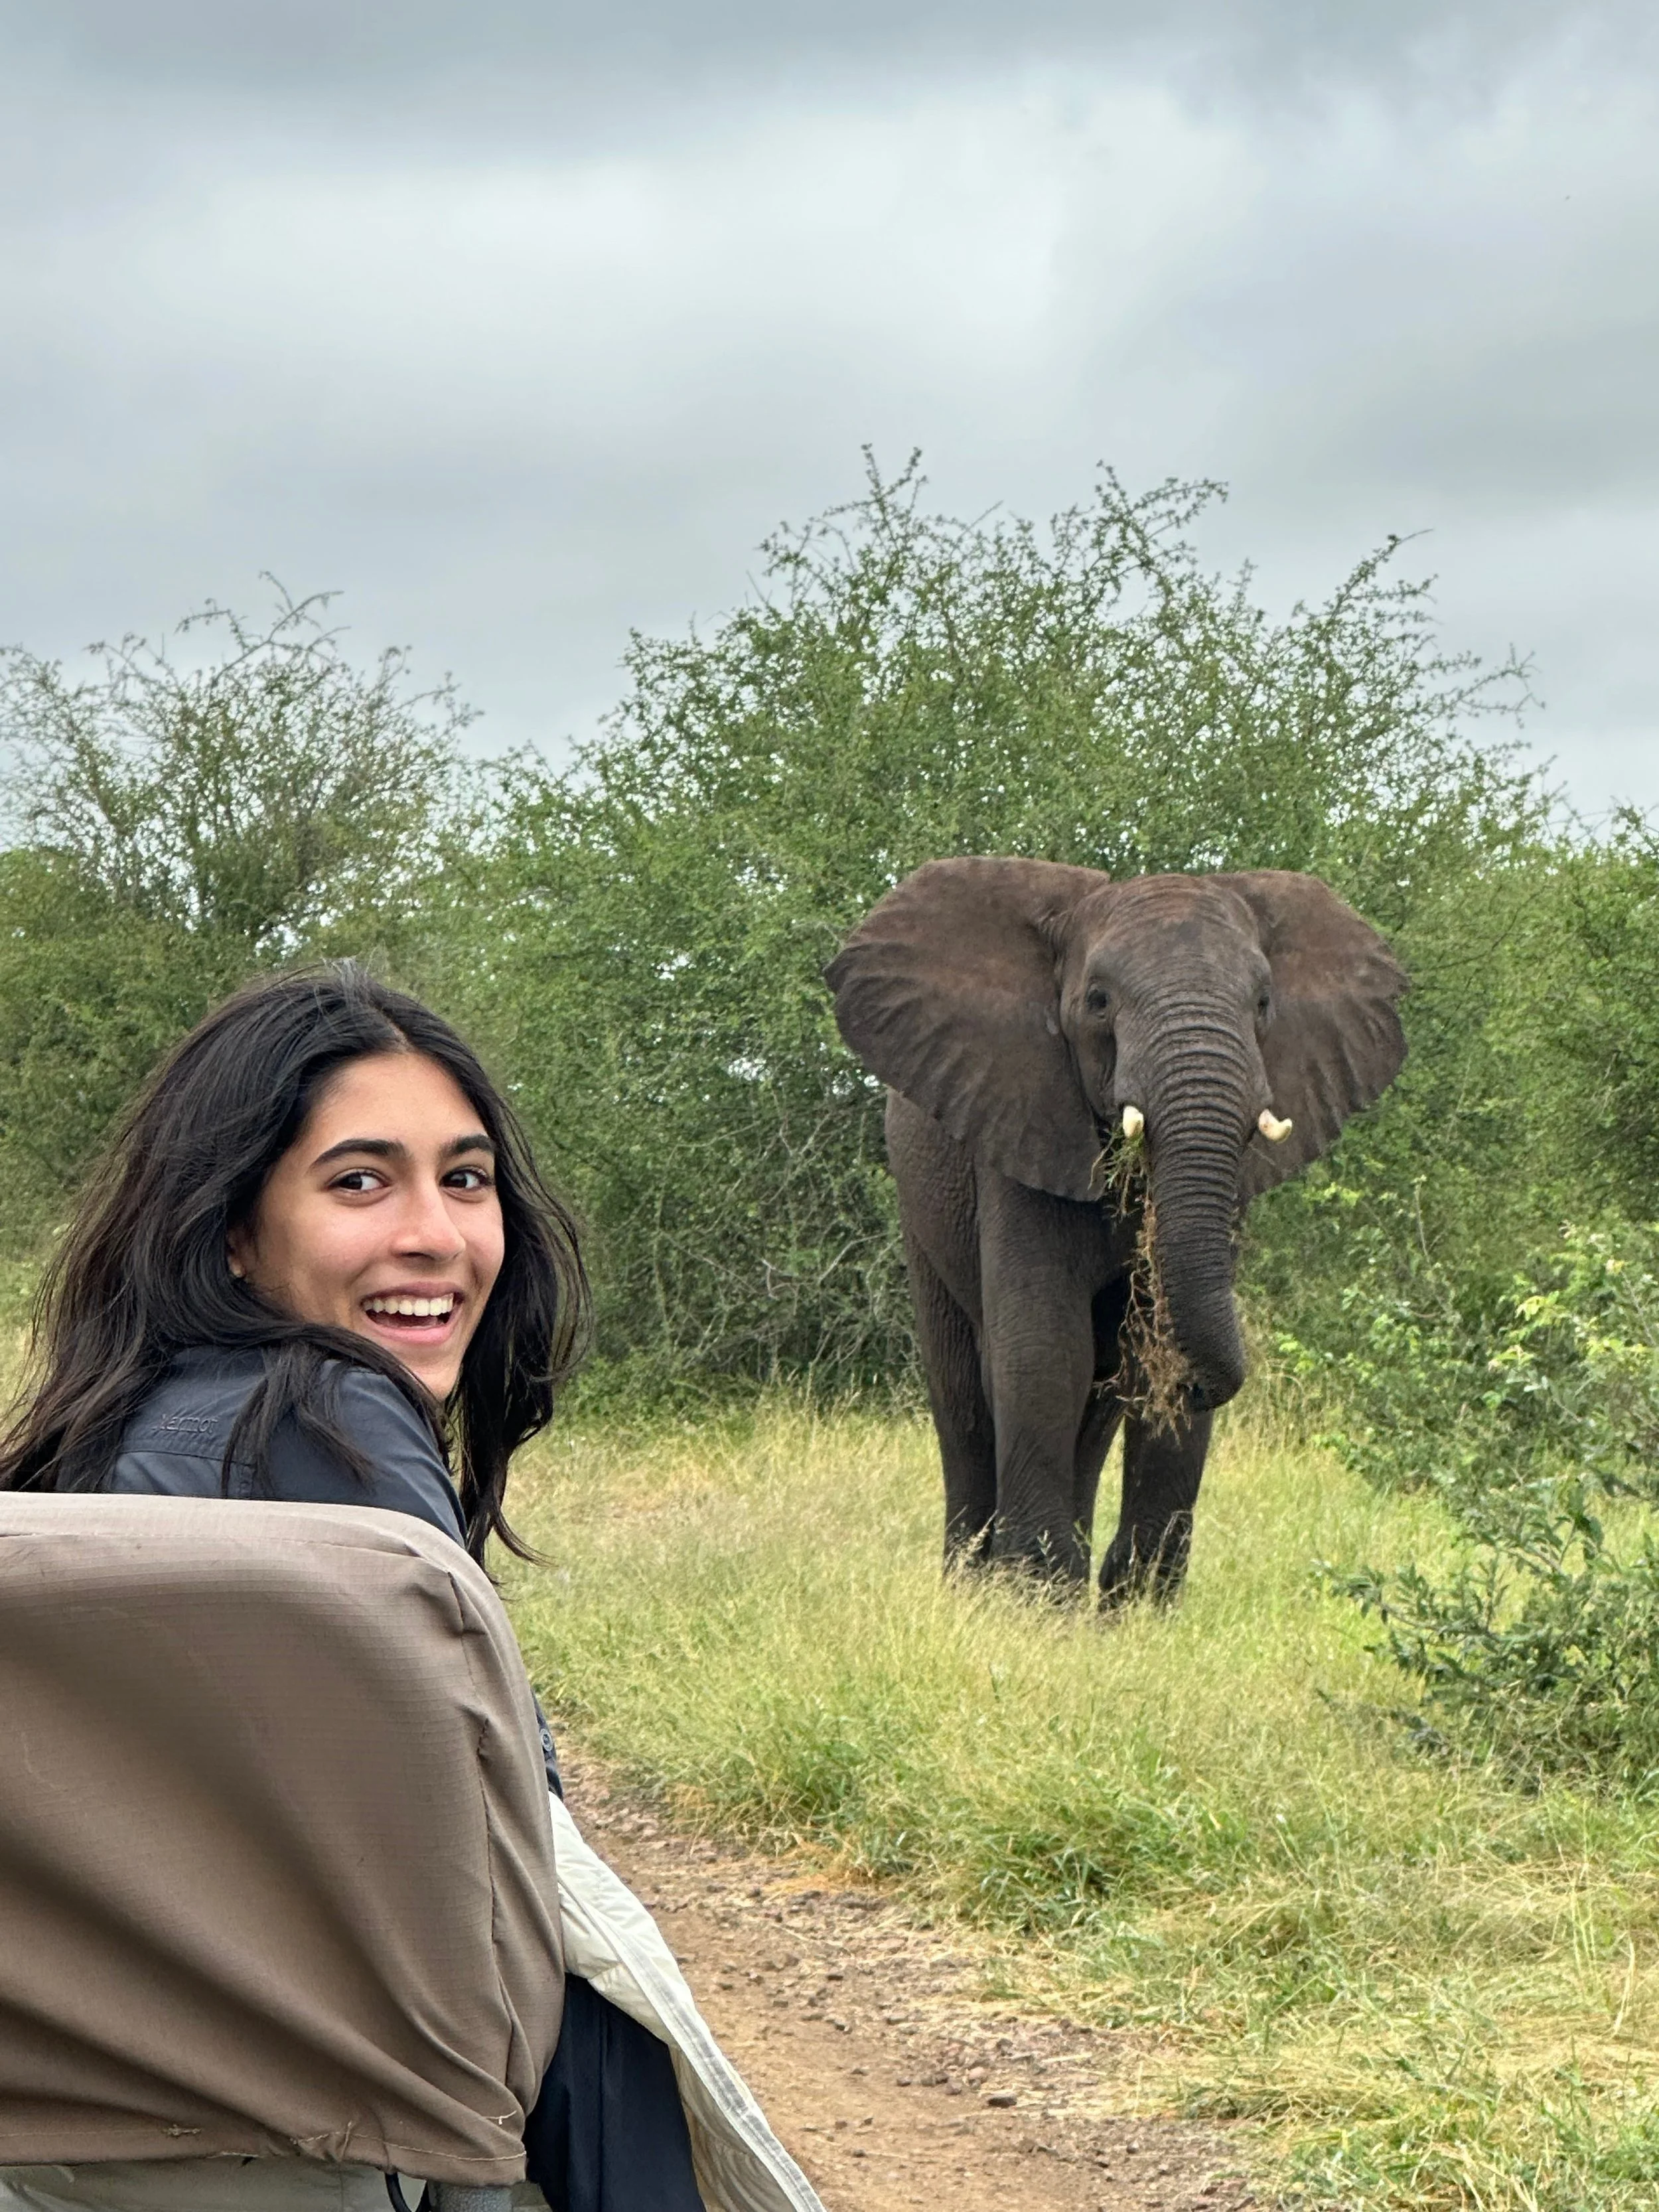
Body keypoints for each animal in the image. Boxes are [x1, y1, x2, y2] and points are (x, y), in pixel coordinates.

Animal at [826, 858, 1407, 1602]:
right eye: (1098, 1002)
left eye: (1263, 1004)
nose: (1204, 1386)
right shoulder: (1019, 1122)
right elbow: (1045, 1350)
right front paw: (1032, 1596)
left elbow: (1132, 1353)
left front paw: (1135, 1606)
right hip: (919, 1208)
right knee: (965, 1396)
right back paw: (973, 1586)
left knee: (1097, 1405)